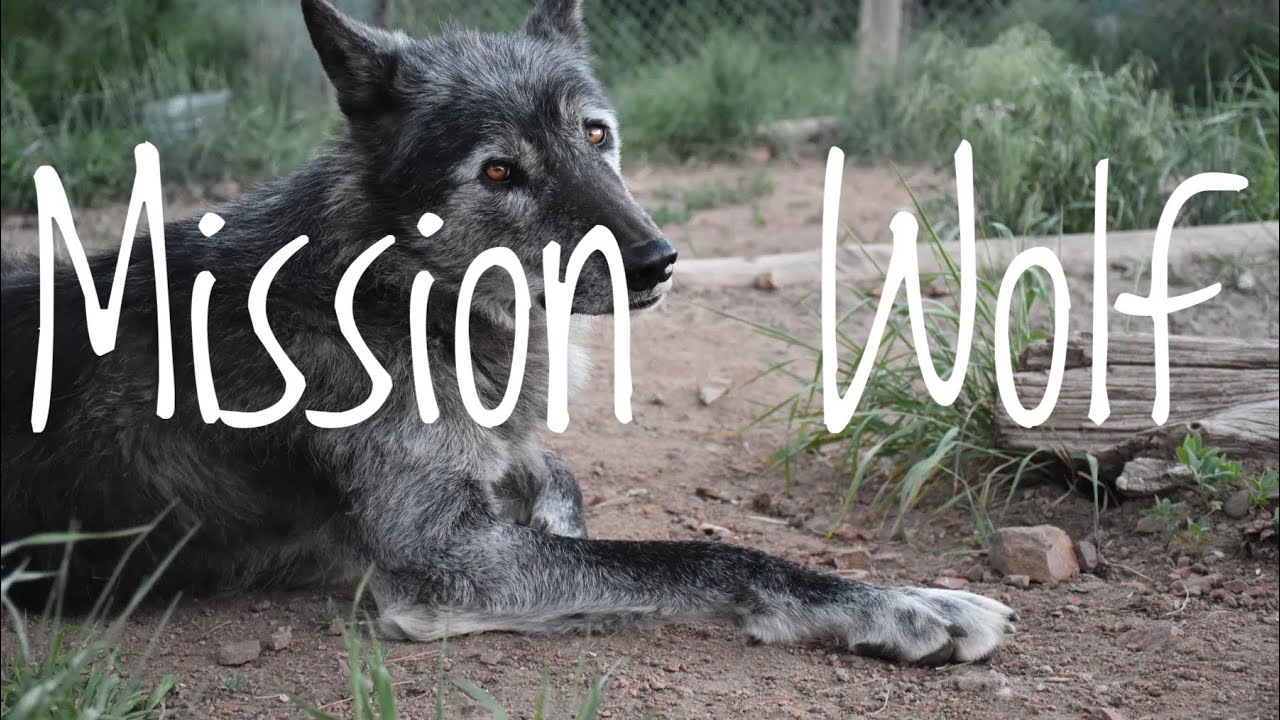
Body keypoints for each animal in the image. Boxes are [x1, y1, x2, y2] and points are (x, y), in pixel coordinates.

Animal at [0, 0, 1016, 664]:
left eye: (597, 136)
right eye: (498, 172)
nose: (658, 262)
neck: (401, 292)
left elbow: (557, 475)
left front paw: (554, 514)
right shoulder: (444, 566)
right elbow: (699, 554)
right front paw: (911, 607)